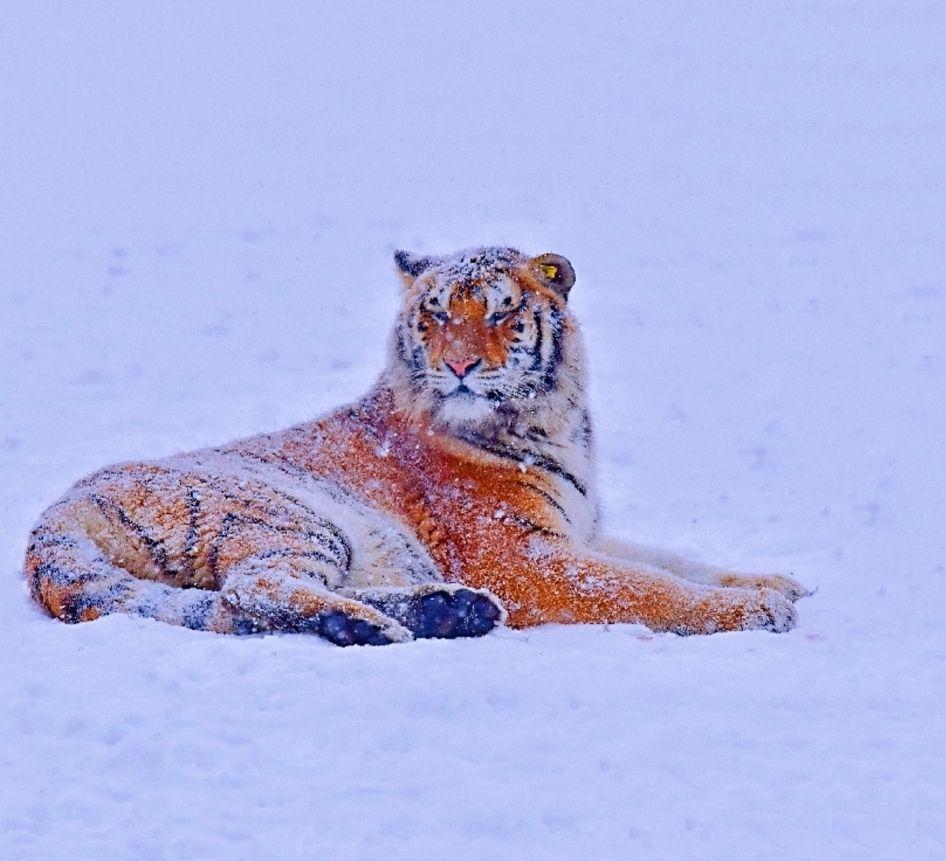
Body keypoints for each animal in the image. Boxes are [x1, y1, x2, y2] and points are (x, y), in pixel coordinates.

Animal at [22, 245, 808, 640]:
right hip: (286, 514)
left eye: (500, 313)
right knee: (254, 589)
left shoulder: (581, 530)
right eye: (432, 318)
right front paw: (752, 613)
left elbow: (673, 560)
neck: (553, 424)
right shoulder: (524, 557)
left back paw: (448, 612)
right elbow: (643, 586)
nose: (457, 366)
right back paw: (375, 625)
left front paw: (773, 582)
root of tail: (49, 521)